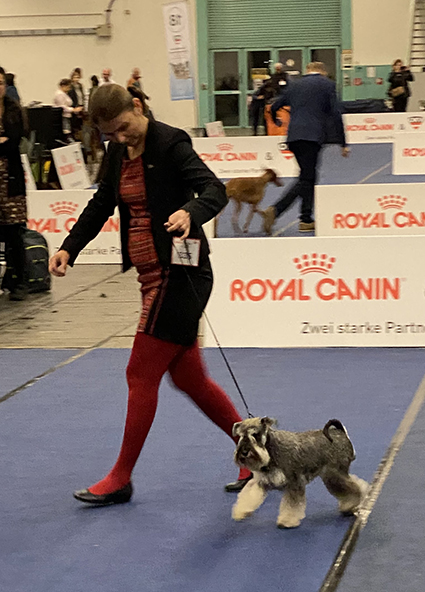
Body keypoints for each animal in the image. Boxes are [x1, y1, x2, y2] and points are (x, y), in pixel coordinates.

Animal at [231, 417, 369, 529]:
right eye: (240, 436)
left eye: (255, 434)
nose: (244, 452)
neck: (270, 450)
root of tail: (340, 432)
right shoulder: (261, 482)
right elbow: (248, 495)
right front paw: (240, 511)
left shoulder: (294, 482)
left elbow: (292, 505)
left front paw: (287, 521)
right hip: (331, 477)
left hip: (335, 474)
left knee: (354, 487)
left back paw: (355, 503)